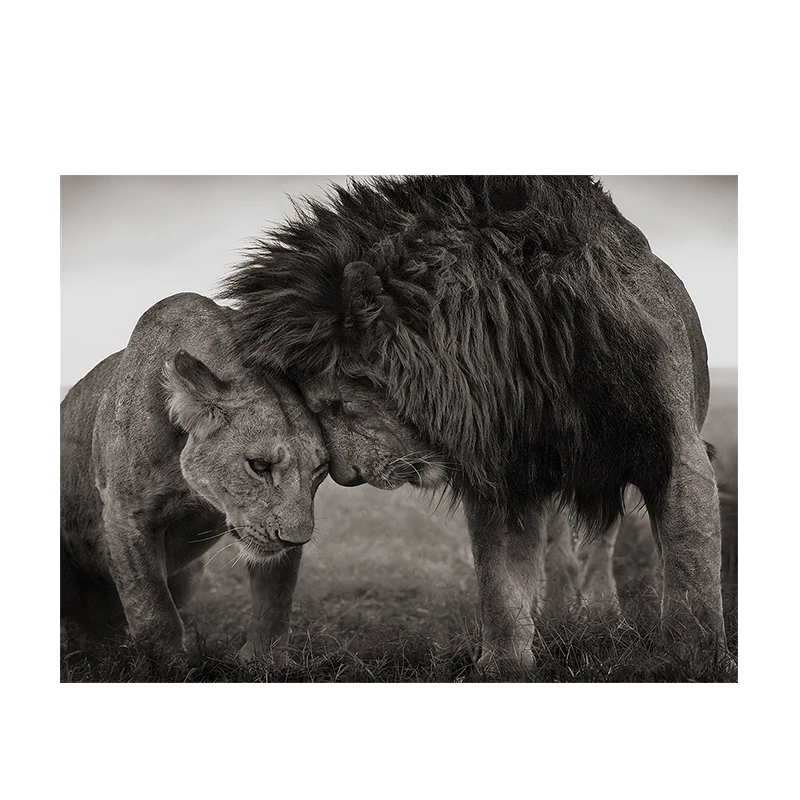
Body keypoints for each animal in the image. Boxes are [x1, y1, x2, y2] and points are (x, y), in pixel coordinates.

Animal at [60, 292, 329, 658]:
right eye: (259, 465)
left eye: (320, 470)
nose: (296, 539)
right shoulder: (125, 513)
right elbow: (153, 609)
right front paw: (166, 663)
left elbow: (276, 599)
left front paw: (264, 660)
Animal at [221, 176, 728, 675]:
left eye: (335, 404)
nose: (346, 478)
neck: (526, 352)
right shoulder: (505, 471)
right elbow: (500, 581)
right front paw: (504, 663)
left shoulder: (673, 451)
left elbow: (691, 570)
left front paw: (694, 660)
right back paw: (560, 612)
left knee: (602, 542)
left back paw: (603, 614)